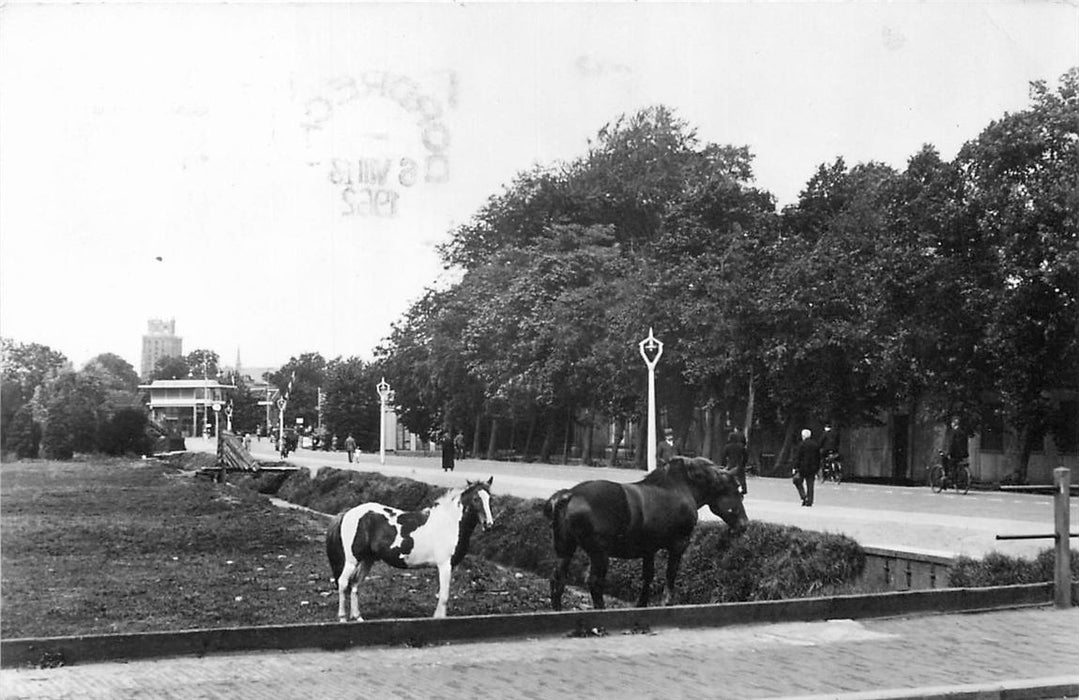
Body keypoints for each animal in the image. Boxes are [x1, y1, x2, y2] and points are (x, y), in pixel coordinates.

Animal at [325, 476, 494, 621]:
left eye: (490, 499)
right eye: (476, 499)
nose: (489, 524)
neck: (449, 522)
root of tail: (347, 513)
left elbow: (441, 595)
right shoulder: (444, 565)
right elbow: (444, 597)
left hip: (367, 560)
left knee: (355, 584)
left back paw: (358, 617)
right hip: (352, 560)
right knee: (343, 583)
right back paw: (342, 618)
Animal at [543, 455, 746, 608]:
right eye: (737, 491)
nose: (744, 524)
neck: (680, 488)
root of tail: (568, 495)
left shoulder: (649, 549)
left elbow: (648, 576)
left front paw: (642, 604)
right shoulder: (679, 544)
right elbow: (670, 574)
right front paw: (667, 601)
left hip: (565, 549)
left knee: (557, 581)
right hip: (599, 553)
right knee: (594, 583)